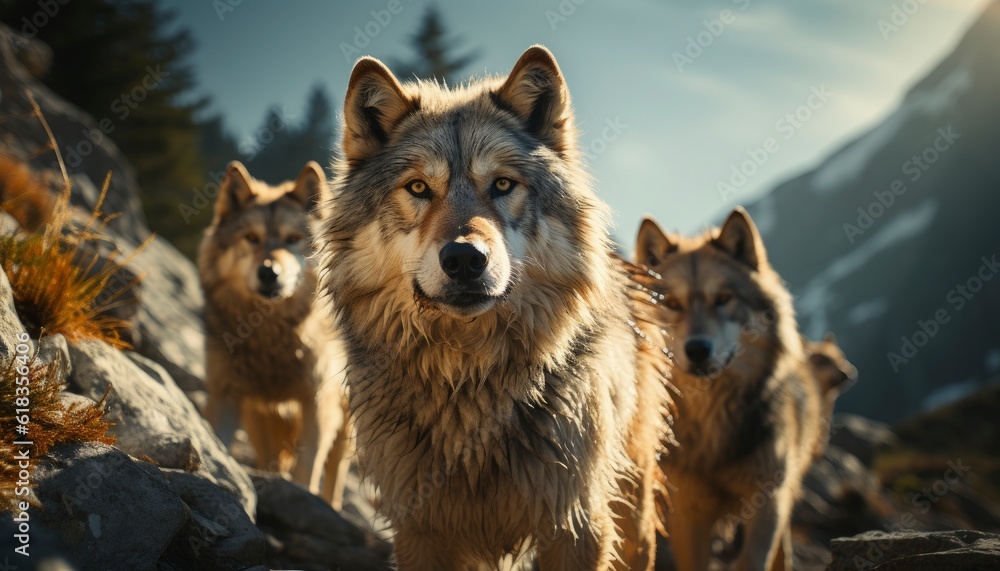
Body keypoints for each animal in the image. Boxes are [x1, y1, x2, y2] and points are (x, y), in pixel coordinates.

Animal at [199, 161, 352, 508]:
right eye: (251, 238)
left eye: (292, 239)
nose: (269, 272)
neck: (269, 335)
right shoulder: (226, 396)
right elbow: (218, 445)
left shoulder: (317, 401)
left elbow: (308, 466)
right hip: (258, 416)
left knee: (336, 471)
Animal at [319, 46, 671, 570]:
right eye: (418, 188)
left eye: (503, 184)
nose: (465, 258)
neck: (469, 380)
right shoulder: (421, 528)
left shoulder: (576, 524)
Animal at [635, 209, 820, 571]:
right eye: (672, 303)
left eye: (723, 299)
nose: (697, 349)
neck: (713, 425)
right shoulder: (687, 511)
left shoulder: (767, 502)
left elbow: (754, 560)